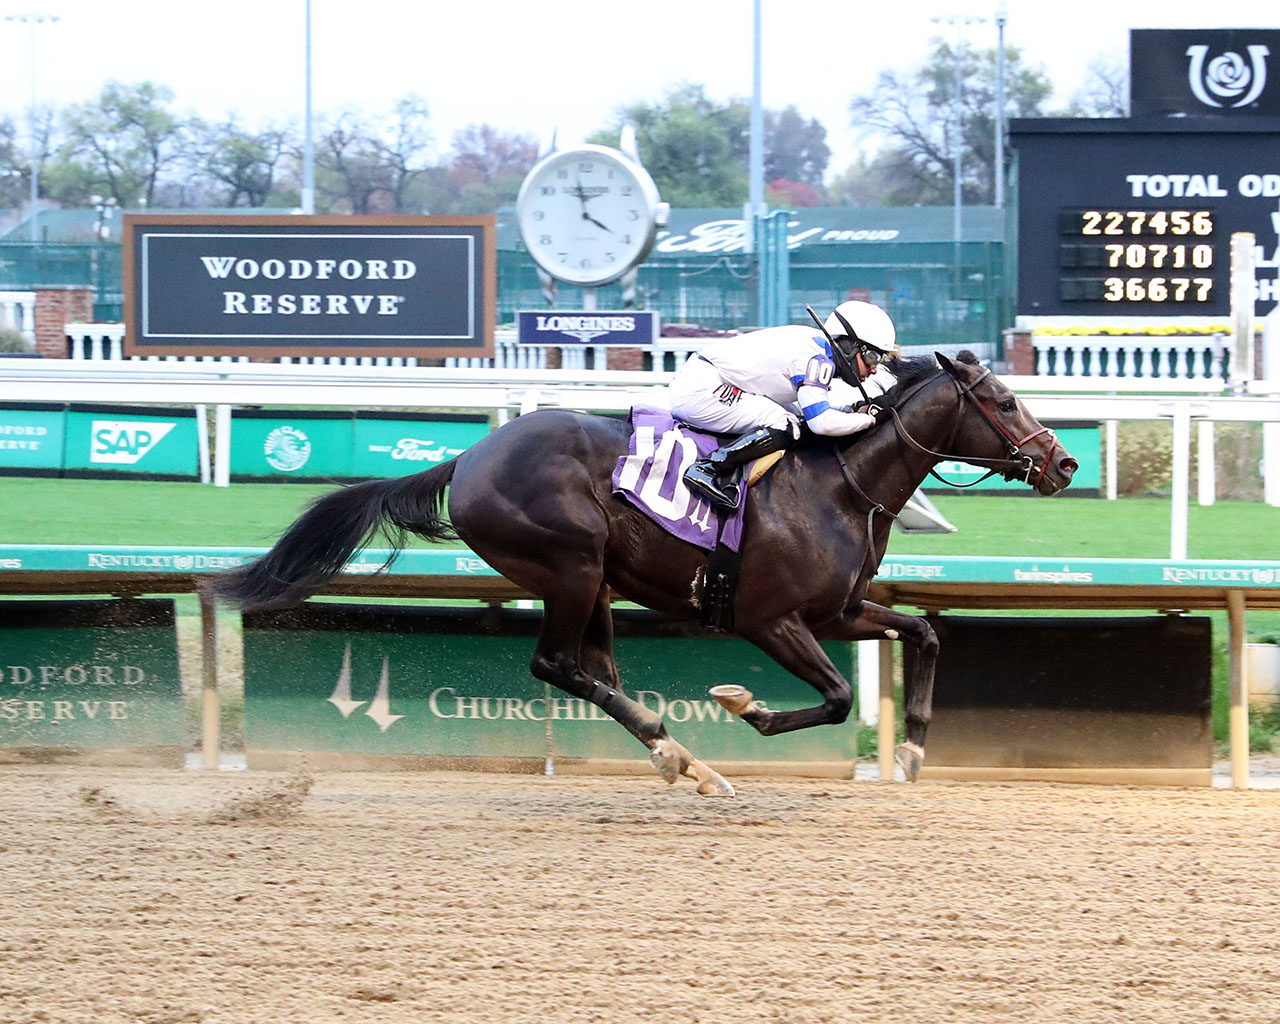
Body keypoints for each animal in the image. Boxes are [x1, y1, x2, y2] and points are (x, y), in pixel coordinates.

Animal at [215, 355, 1075, 793]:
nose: (1064, 463)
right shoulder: (769, 619)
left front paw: (915, 748)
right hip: (569, 562)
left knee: (595, 670)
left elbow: (923, 631)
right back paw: (671, 749)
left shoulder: (839, 610)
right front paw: (744, 706)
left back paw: (685, 761)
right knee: (555, 664)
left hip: (595, 580)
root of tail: (469, 456)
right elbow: (833, 699)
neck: (840, 484)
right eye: (1003, 400)